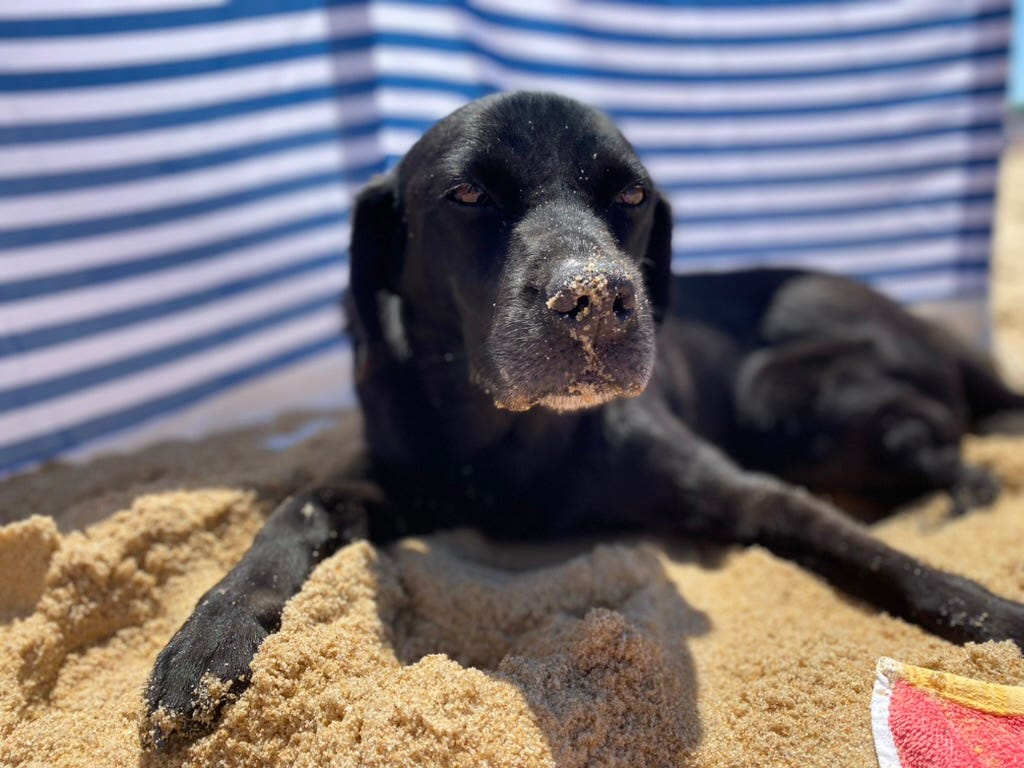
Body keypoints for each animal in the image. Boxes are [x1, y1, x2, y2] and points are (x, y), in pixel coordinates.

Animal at [142, 90, 1024, 745]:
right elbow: (298, 509)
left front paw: (991, 613)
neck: (512, 440)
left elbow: (868, 552)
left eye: (630, 196)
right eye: (467, 194)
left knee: (953, 454)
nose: (596, 297)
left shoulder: (747, 492)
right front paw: (209, 638)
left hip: (787, 393)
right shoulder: (399, 490)